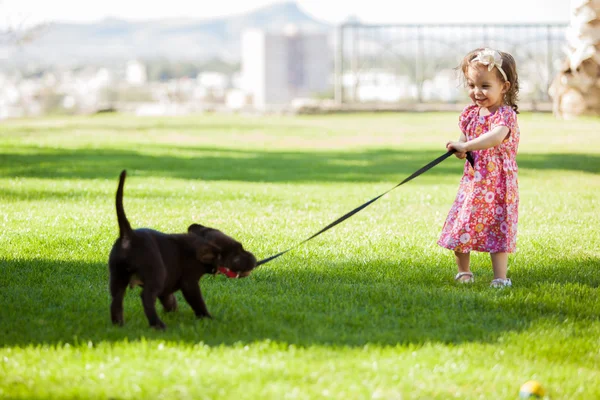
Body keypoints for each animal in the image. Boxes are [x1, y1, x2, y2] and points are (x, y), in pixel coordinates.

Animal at [108, 170, 255, 330]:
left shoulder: (167, 286)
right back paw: (158, 325)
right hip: (155, 274)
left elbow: (169, 299)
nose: (255, 259)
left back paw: (118, 324)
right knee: (146, 297)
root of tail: (129, 236)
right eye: (238, 252)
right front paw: (207, 318)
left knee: (116, 300)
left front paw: (173, 312)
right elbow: (197, 302)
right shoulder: (189, 283)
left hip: (117, 276)